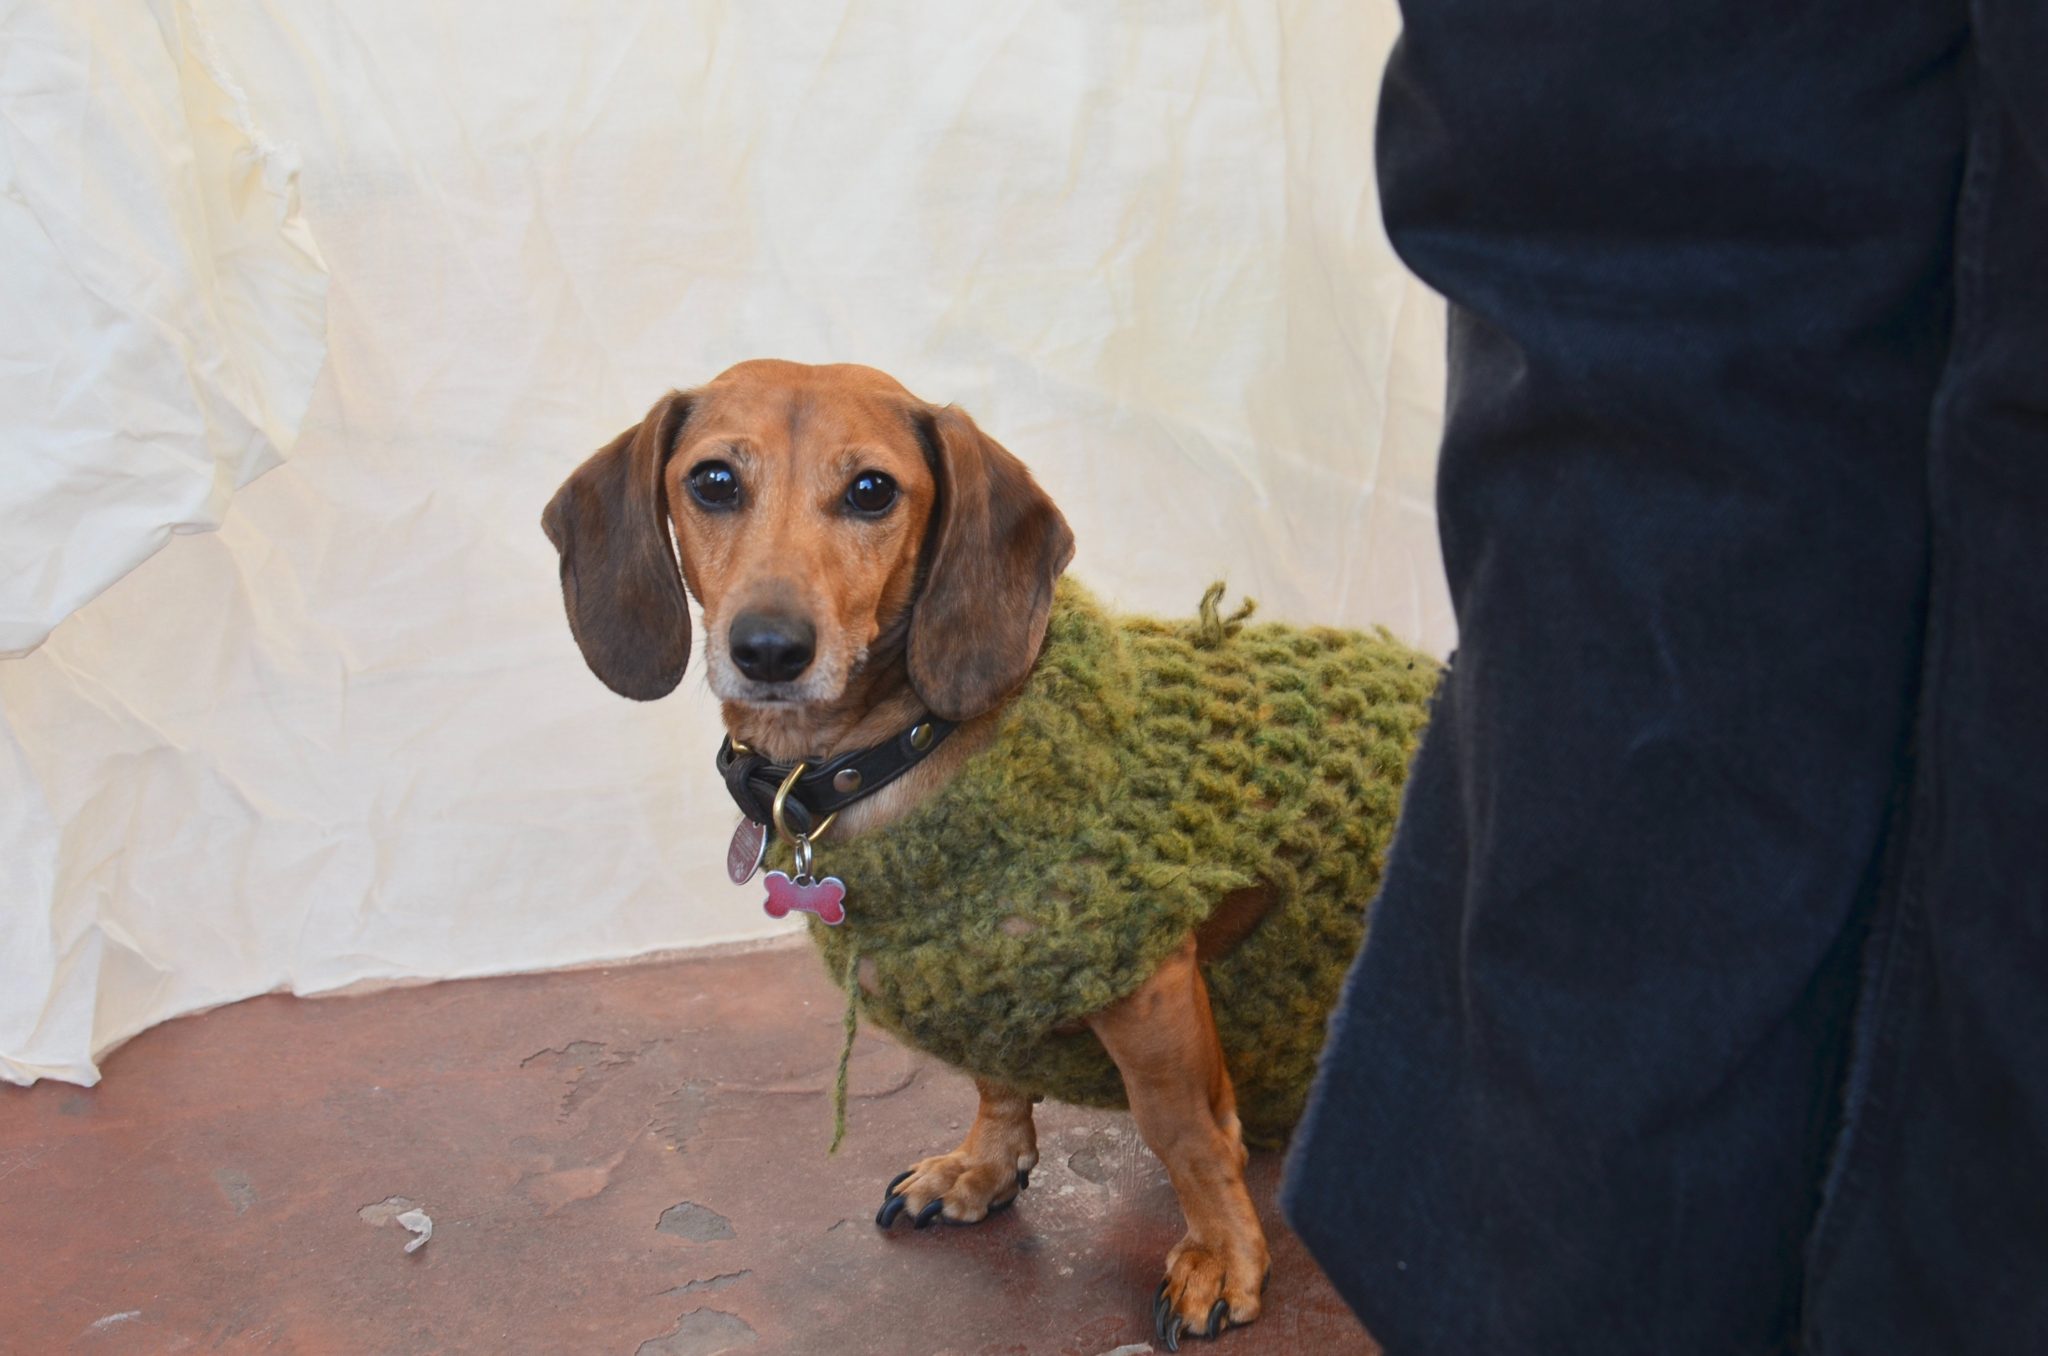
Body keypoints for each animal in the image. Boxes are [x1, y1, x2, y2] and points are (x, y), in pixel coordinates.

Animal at [544, 360, 1277, 1351]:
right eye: (714, 480)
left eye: (871, 490)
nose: (769, 648)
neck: (889, 749)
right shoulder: (985, 980)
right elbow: (998, 1081)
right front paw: (983, 1169)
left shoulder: (1149, 976)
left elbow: (1183, 1131)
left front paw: (1221, 1256)